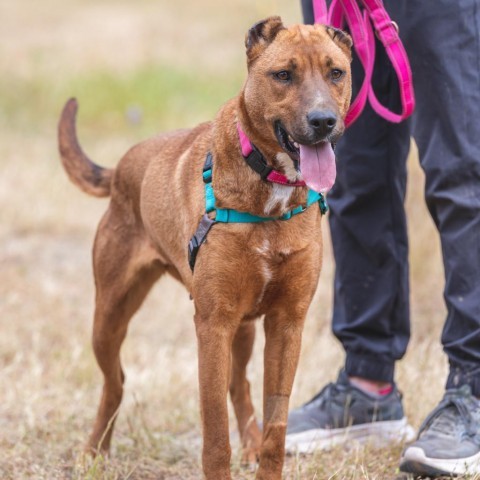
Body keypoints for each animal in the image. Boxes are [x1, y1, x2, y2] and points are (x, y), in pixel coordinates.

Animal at [58, 16, 350, 480]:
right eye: (283, 75)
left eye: (335, 72)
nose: (323, 121)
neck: (268, 184)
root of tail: (122, 167)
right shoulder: (213, 325)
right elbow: (214, 436)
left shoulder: (286, 323)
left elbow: (277, 429)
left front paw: (261, 452)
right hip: (109, 314)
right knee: (115, 381)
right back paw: (94, 453)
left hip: (244, 326)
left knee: (239, 383)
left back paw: (248, 443)